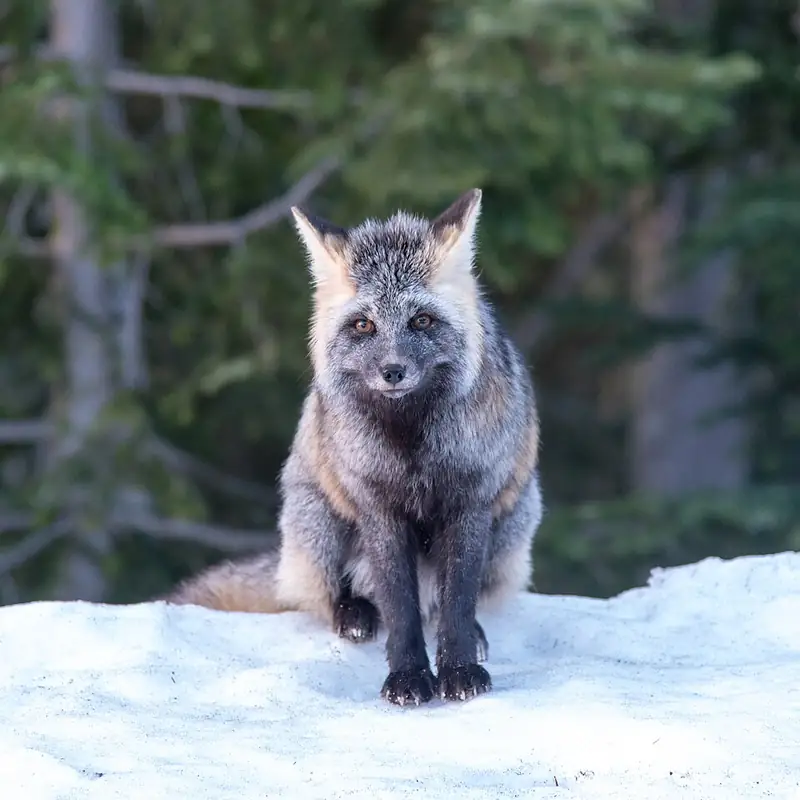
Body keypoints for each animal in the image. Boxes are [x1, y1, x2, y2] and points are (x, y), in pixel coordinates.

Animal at [166, 189, 544, 706]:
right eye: (364, 325)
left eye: (421, 320)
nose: (393, 371)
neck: (410, 444)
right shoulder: (377, 507)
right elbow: (400, 609)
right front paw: (408, 677)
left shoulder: (470, 502)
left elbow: (458, 604)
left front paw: (459, 670)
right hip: (318, 523)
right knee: (327, 596)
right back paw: (354, 614)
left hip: (514, 519)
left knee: (447, 602)